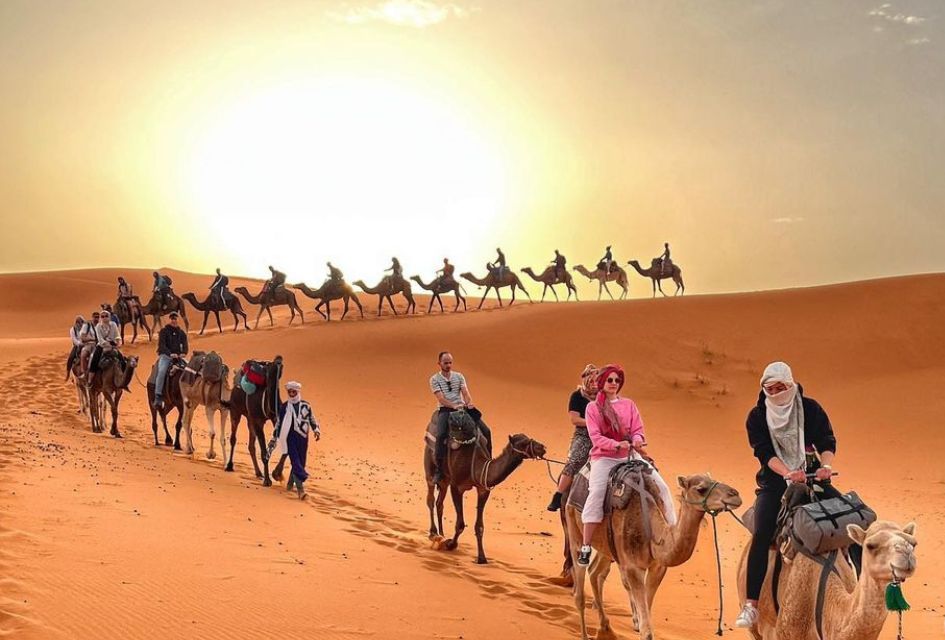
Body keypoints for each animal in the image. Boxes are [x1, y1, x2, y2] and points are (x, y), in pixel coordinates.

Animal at [226, 356, 284, 484]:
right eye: (270, 370)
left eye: (282, 368)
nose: (278, 360)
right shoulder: (257, 420)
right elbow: (263, 452)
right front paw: (267, 481)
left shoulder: (274, 419)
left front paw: (277, 474)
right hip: (235, 410)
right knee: (233, 438)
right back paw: (229, 466)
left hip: (250, 419)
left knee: (251, 446)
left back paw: (258, 473)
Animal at [422, 412, 544, 564]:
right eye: (523, 443)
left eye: (529, 438)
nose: (542, 447)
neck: (476, 466)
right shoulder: (457, 487)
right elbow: (460, 524)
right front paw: (451, 544)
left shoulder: (483, 489)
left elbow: (479, 526)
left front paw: (482, 557)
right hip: (430, 465)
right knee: (431, 499)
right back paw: (433, 533)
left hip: (446, 479)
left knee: (440, 503)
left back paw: (441, 534)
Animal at [564, 470, 740, 640]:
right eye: (701, 489)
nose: (735, 494)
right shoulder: (633, 568)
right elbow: (646, 630)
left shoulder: (658, 568)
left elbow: (646, 618)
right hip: (574, 527)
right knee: (579, 591)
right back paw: (585, 634)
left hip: (606, 547)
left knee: (594, 572)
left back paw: (605, 628)